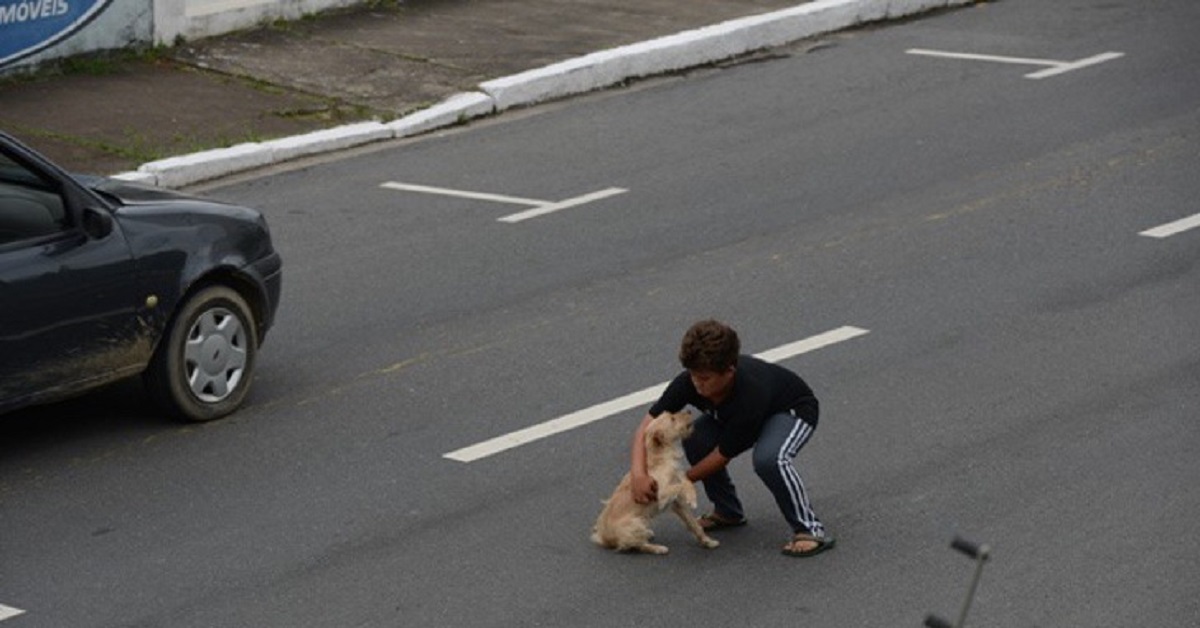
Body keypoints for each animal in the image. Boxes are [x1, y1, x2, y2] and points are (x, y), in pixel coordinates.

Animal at [592, 413, 720, 554]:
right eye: (672, 419)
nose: (689, 411)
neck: (662, 458)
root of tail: (604, 538)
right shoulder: (660, 493)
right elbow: (683, 484)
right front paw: (692, 497)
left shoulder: (677, 503)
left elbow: (693, 524)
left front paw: (707, 541)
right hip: (636, 523)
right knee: (637, 545)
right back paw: (657, 548)